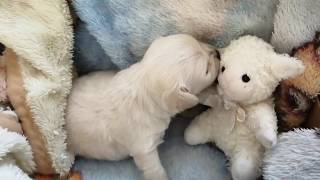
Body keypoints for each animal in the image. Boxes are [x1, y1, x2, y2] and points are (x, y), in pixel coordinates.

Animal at [65, 34, 220, 180]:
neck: (143, 85)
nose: (218, 52)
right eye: (207, 69)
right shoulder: (144, 148)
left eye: (199, 41)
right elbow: (154, 169)